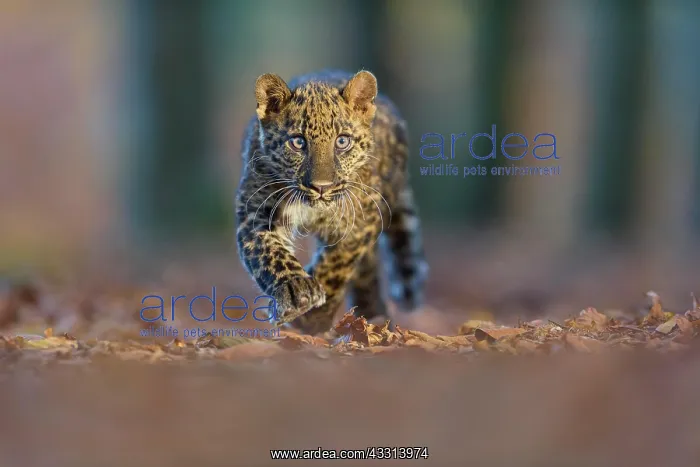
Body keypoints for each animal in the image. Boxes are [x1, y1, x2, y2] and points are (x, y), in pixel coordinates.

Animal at [235, 69, 428, 335]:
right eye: (298, 142)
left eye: (342, 141)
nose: (321, 187)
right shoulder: (255, 210)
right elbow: (268, 252)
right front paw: (295, 290)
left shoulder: (361, 220)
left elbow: (337, 263)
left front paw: (312, 316)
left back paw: (373, 314)